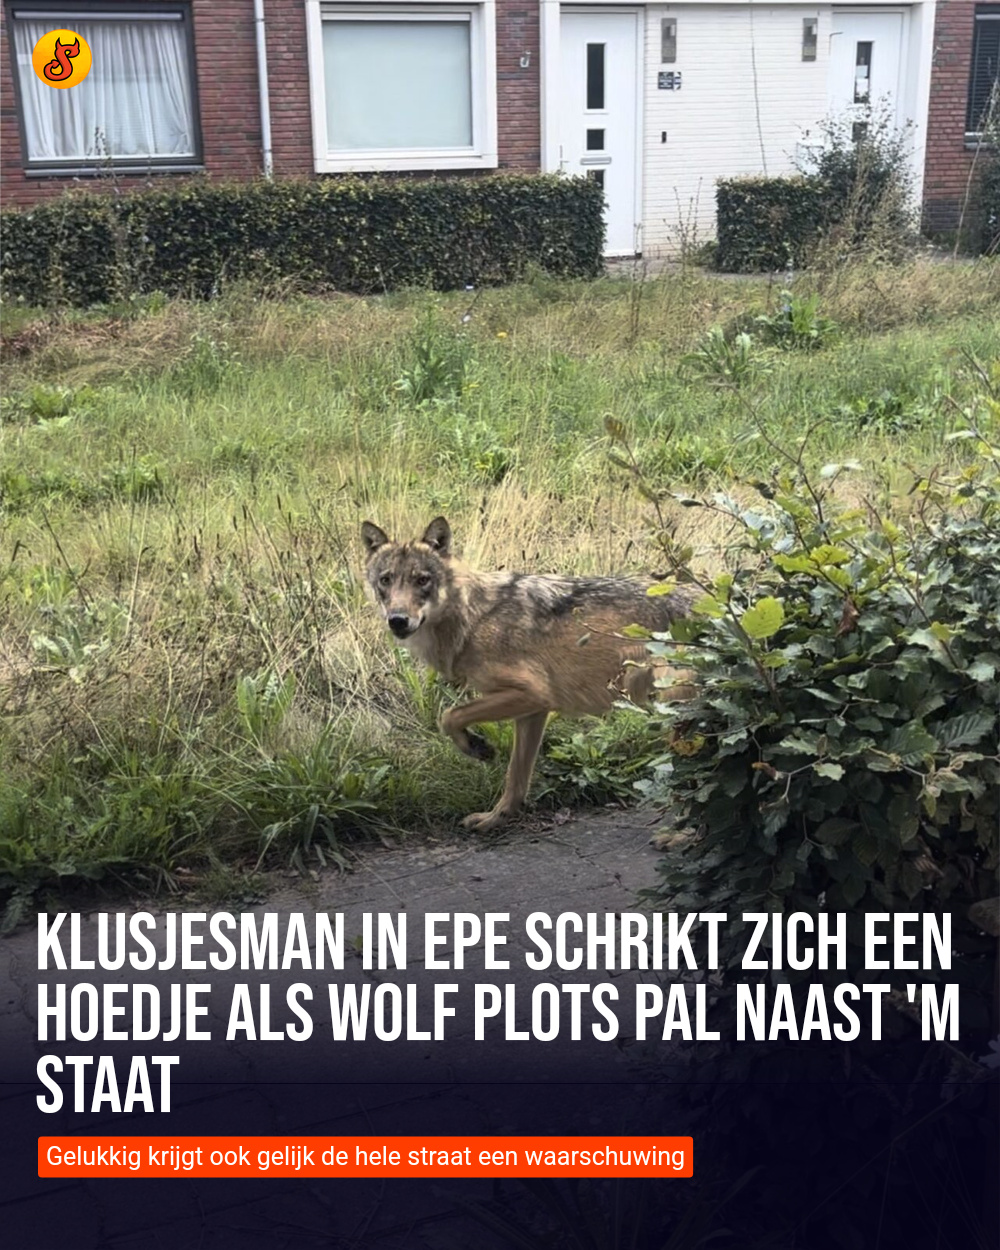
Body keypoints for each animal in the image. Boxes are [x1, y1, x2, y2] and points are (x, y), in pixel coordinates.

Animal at [361, 517, 694, 832]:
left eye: (422, 580)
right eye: (386, 580)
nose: (398, 620)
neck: (473, 618)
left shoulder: (530, 693)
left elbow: (449, 716)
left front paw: (477, 747)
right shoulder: (533, 710)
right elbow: (516, 777)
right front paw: (495, 818)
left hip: (674, 711)